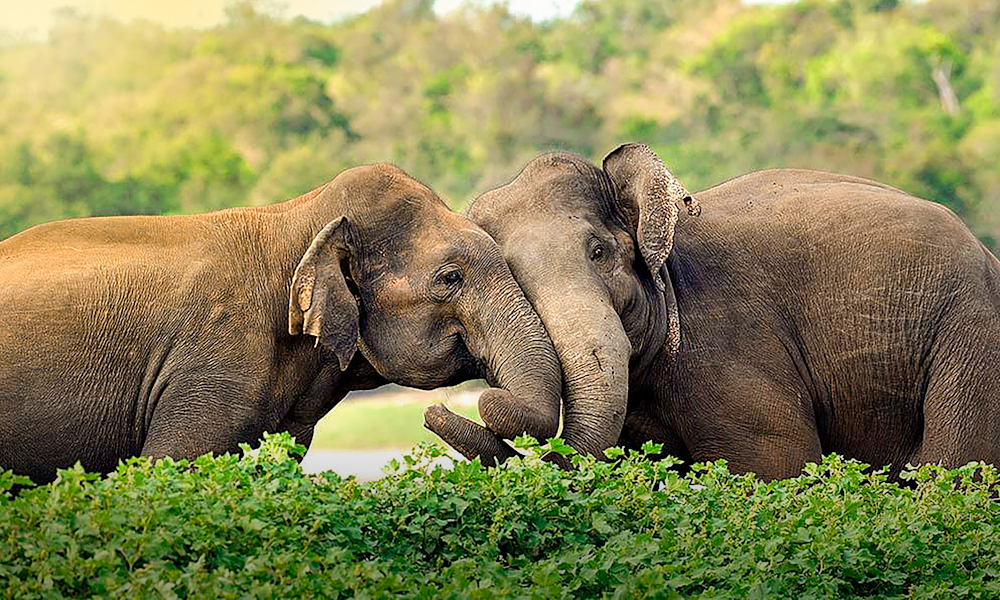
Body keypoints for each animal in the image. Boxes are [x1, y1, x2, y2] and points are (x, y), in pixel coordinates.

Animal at [425, 143, 1000, 482]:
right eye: (513, 277)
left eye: (599, 252)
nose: (435, 412)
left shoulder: (733, 350)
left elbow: (776, 466)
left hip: (971, 334)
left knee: (955, 467)